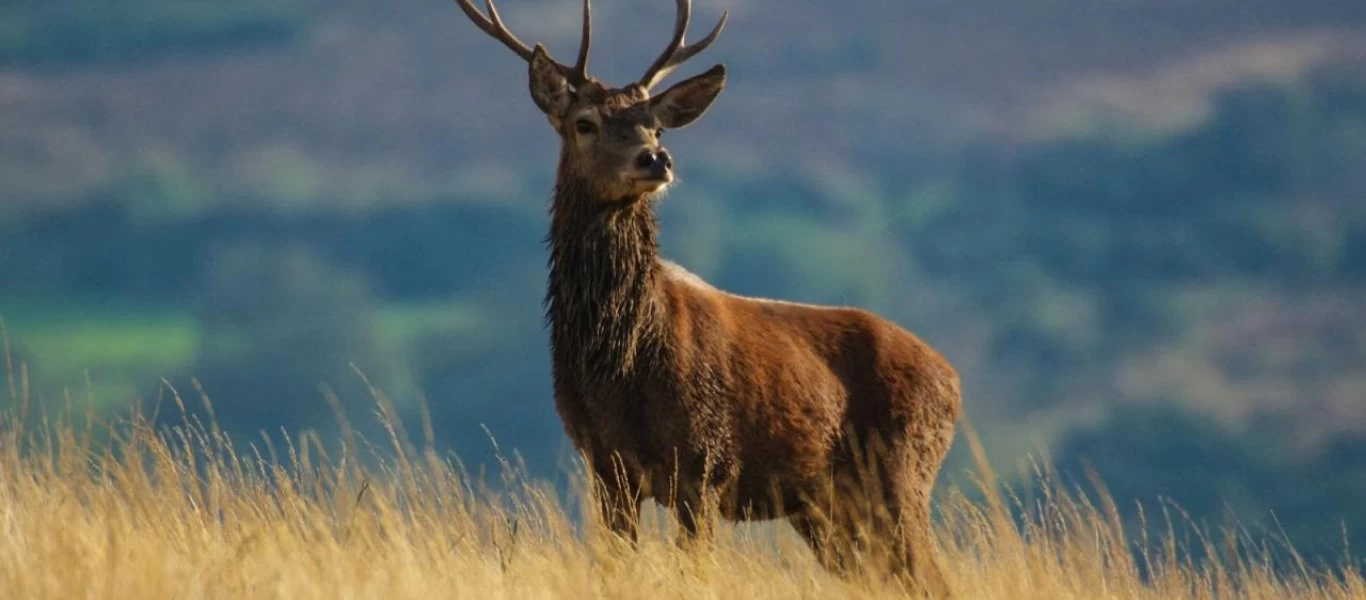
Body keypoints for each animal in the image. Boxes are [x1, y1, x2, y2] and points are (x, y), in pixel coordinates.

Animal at [448, 0, 961, 595]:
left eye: (654, 125)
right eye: (585, 122)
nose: (656, 158)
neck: (619, 367)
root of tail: (952, 379)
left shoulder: (707, 461)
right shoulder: (606, 467)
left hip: (901, 472)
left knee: (931, 577)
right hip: (827, 510)